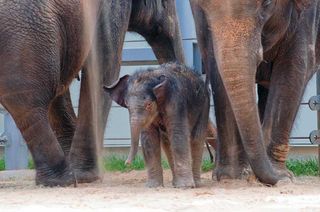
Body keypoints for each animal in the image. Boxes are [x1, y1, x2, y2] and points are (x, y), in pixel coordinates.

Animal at [0, 0, 184, 186]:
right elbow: (105, 64)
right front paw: (85, 176)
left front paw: (79, 173)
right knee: (27, 99)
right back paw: (62, 179)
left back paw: (58, 178)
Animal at [190, 0, 318, 185]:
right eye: (202, 6)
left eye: (268, 3)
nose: (279, 179)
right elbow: (217, 70)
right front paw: (230, 177)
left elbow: (294, 67)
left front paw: (281, 176)